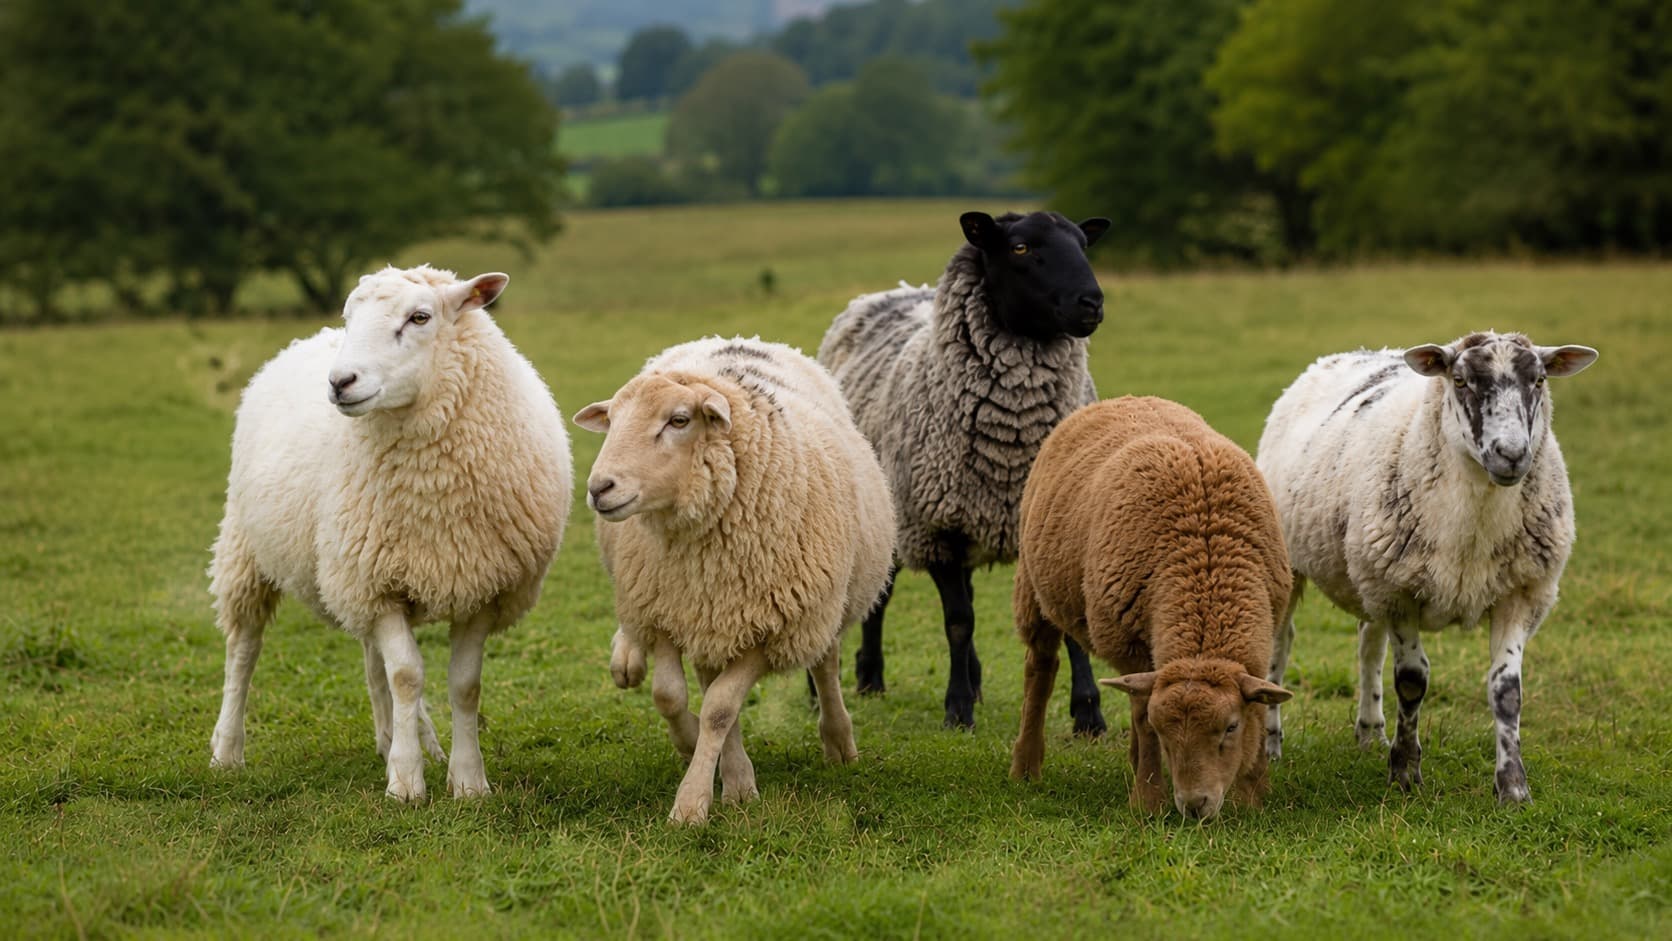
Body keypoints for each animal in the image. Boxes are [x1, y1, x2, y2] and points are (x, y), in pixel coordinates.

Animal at [207, 265, 572, 802]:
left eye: (420, 317)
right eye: (349, 316)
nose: (340, 382)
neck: (433, 489)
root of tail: (307, 339)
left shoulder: (481, 587)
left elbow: (463, 684)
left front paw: (467, 780)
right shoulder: (376, 584)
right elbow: (406, 675)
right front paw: (405, 781)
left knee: (371, 658)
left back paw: (406, 739)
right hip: (248, 547)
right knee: (243, 649)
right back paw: (227, 750)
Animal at [573, 336, 895, 825]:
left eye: (679, 420)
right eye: (612, 421)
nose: (599, 488)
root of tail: (741, 340)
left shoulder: (775, 625)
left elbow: (720, 709)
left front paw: (693, 802)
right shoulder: (665, 609)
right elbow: (672, 696)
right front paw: (702, 754)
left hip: (820, 603)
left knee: (825, 663)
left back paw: (838, 742)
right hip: (709, 615)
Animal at [817, 209, 1112, 732]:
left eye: (1083, 243)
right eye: (1019, 247)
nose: (1092, 303)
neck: (1013, 448)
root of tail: (895, 291)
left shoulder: (1047, 525)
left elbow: (1063, 625)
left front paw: (1088, 714)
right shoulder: (936, 529)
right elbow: (958, 621)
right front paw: (957, 709)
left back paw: (972, 679)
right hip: (890, 512)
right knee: (881, 595)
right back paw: (869, 677)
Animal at [1010, 396, 1294, 820]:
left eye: (1230, 727)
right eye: (1165, 730)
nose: (1195, 805)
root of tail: (1121, 399)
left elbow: (1259, 711)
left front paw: (1252, 794)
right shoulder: (1127, 644)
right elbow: (1142, 721)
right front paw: (1148, 800)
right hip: (1033, 588)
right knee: (1040, 670)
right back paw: (1026, 766)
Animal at [1256, 331, 1597, 803]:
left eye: (1540, 380)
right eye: (1460, 379)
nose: (1511, 454)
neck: (1475, 524)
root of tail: (1352, 352)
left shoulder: (1521, 594)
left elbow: (1506, 691)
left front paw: (1513, 788)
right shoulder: (1401, 595)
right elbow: (1412, 681)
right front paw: (1404, 773)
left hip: (1370, 571)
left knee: (1368, 646)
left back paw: (1370, 734)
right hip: (1293, 561)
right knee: (1280, 644)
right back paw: (1272, 746)